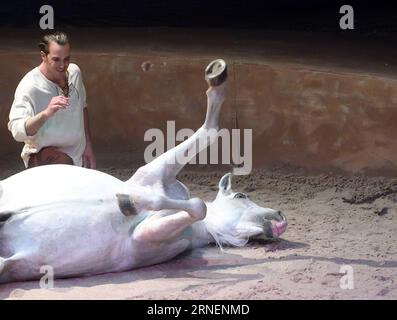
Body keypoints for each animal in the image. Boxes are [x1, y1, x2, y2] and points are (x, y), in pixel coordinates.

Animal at [0, 61, 284, 284]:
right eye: (241, 196)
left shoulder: (147, 235)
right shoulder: (152, 175)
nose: (281, 217)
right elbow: (208, 137)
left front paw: (128, 203)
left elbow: (196, 206)